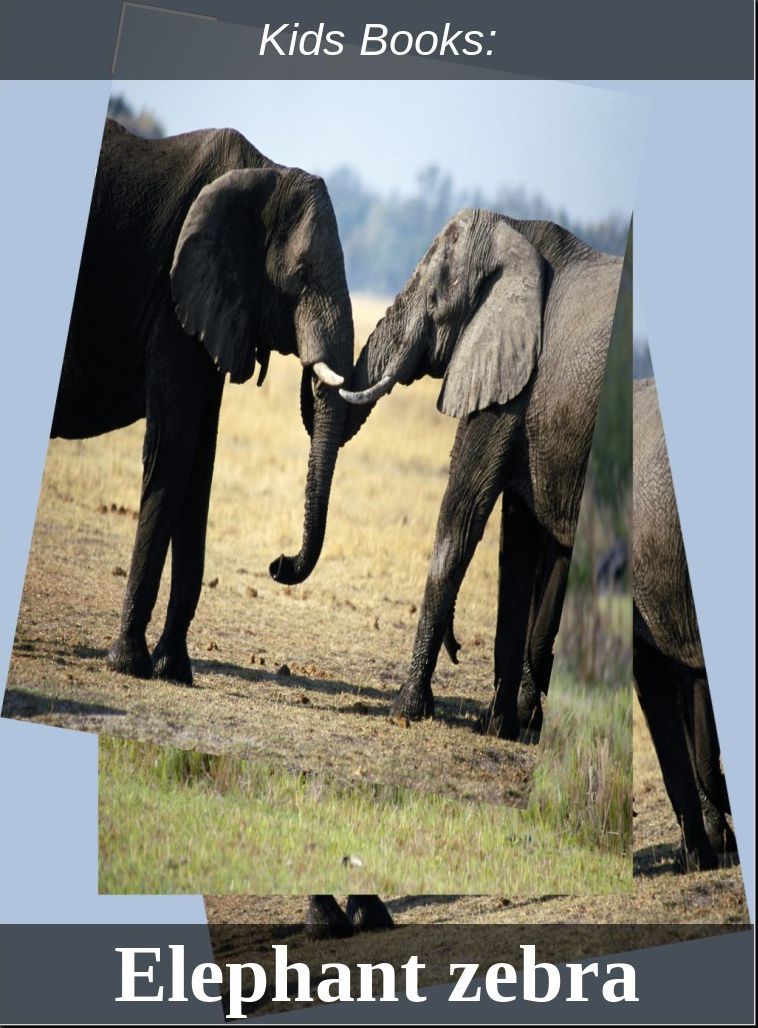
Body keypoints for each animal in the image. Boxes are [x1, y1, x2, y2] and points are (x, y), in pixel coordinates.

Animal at [51, 119, 352, 685]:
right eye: (300, 277)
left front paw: (174, 671)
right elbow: (174, 447)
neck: (266, 171)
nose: (278, 563)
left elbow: (200, 463)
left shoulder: (215, 309)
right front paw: (128, 665)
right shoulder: (174, 298)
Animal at [340, 209, 625, 740]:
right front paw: (498, 726)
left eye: (434, 300)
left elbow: (463, 513)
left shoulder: (512, 382)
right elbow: (516, 547)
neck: (517, 231)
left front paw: (407, 711)